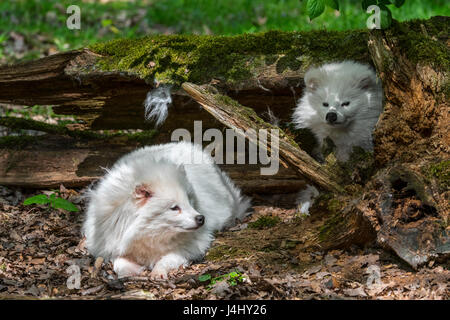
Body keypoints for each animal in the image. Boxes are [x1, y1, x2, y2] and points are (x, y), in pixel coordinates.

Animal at [82, 141, 251, 278]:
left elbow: (167, 259)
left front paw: (158, 272)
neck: (146, 232)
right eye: (174, 208)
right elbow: (118, 263)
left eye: (189, 201)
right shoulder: (113, 246)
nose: (201, 218)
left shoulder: (192, 247)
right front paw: (129, 273)